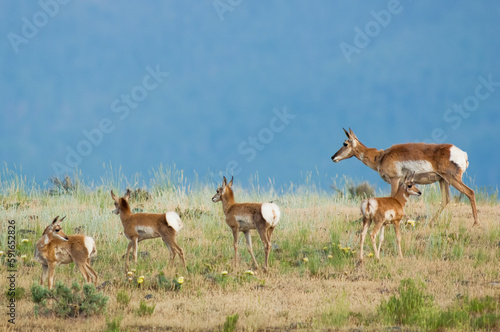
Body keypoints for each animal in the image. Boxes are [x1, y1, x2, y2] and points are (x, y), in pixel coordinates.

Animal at [330, 128, 478, 227]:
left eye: (345, 144)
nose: (333, 157)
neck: (380, 156)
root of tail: (462, 153)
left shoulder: (395, 180)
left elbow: (393, 197)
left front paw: (407, 220)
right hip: (443, 180)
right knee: (446, 199)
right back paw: (430, 223)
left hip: (452, 179)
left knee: (470, 192)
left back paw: (475, 223)